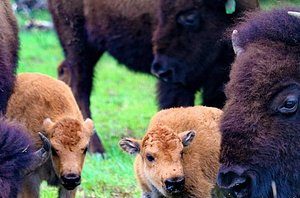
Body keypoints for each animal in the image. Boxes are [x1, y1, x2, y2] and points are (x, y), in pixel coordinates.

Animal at [47, 0, 258, 153]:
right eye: (162, 14)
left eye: (190, 17)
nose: (160, 69)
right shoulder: (178, 83)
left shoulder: (219, 78)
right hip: (77, 40)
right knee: (80, 86)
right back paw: (96, 150)